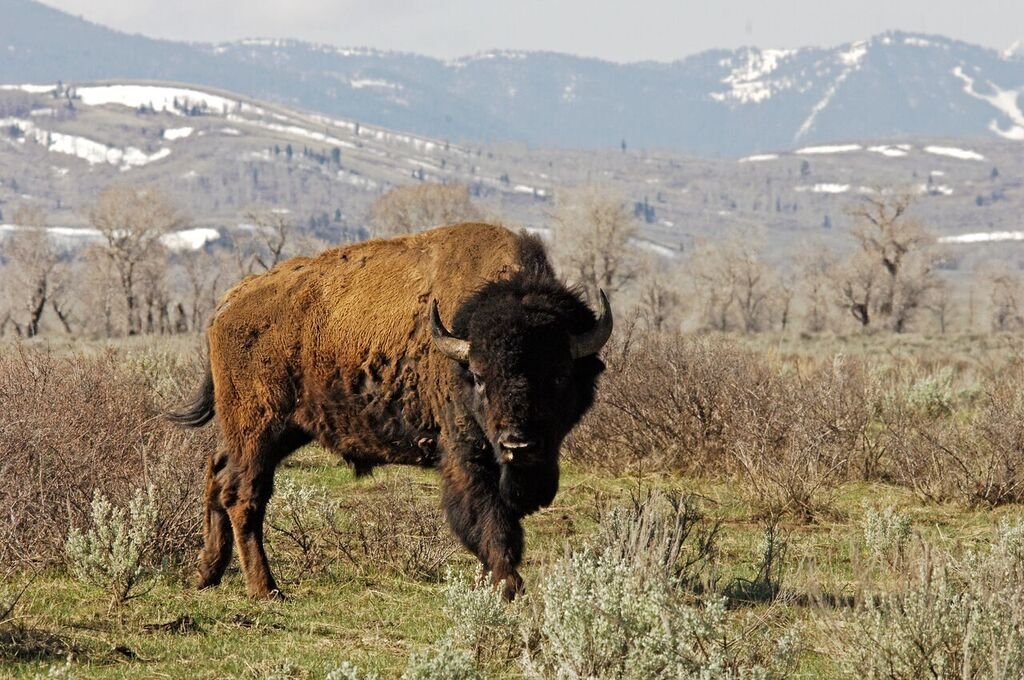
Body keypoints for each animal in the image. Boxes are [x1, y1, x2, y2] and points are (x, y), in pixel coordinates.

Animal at [168, 223, 611, 600]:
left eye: (559, 375)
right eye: (479, 376)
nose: (518, 444)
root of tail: (228, 304)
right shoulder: (467, 455)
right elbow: (491, 521)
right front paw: (509, 587)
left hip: (281, 431)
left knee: (218, 473)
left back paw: (207, 573)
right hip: (259, 428)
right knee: (244, 496)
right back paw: (266, 590)